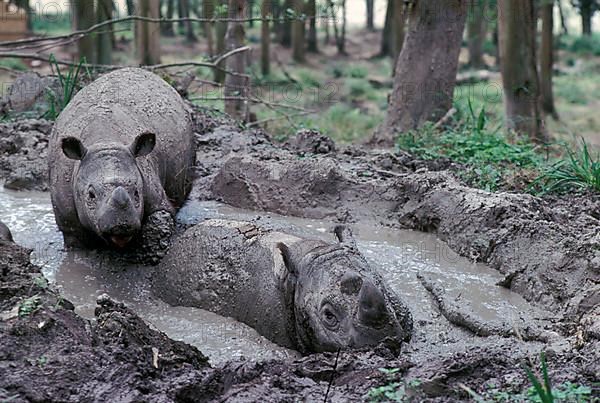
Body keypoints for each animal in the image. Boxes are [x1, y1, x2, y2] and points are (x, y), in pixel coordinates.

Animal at [49, 68, 195, 248]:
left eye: (137, 193)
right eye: (90, 195)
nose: (122, 226)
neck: (105, 140)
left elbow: (161, 214)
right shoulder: (68, 223)